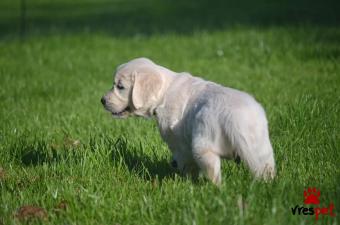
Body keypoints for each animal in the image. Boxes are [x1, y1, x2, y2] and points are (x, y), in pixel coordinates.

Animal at [101, 57, 276, 185]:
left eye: (120, 87)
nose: (102, 100)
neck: (164, 92)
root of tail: (233, 120)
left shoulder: (178, 143)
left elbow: (184, 161)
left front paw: (185, 180)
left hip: (202, 146)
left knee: (214, 175)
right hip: (260, 147)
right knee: (265, 167)